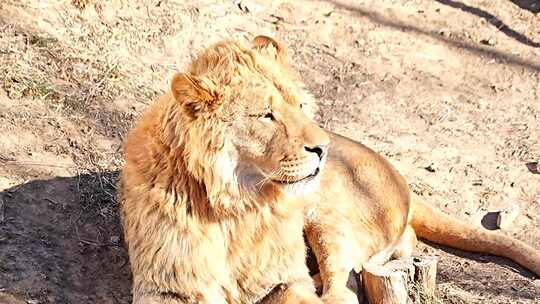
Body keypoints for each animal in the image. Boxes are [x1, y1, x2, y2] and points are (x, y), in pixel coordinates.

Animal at [120, 35, 536, 304]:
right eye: (267, 115)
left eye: (301, 106)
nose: (323, 148)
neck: (235, 207)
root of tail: (403, 181)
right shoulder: (166, 285)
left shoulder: (285, 278)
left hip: (326, 214)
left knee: (347, 283)